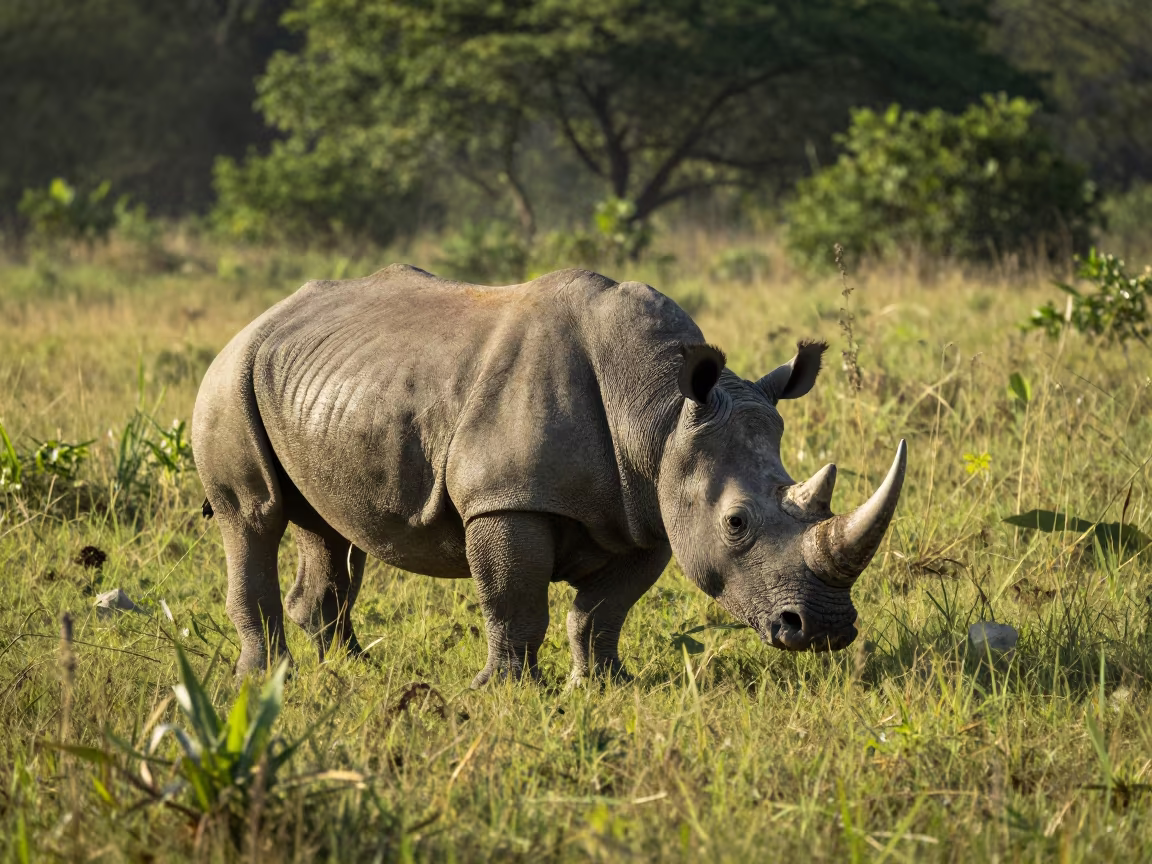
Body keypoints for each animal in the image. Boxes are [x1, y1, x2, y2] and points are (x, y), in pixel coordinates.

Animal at [192, 265, 906, 686]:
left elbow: (602, 611)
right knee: (253, 516)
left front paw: (606, 686)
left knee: (328, 527)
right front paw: (507, 692)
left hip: (320, 384)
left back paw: (353, 669)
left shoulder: (648, 510)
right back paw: (266, 681)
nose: (824, 630)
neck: (659, 411)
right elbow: (515, 602)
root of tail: (260, 319)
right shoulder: (506, 499)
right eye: (736, 523)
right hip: (230, 376)